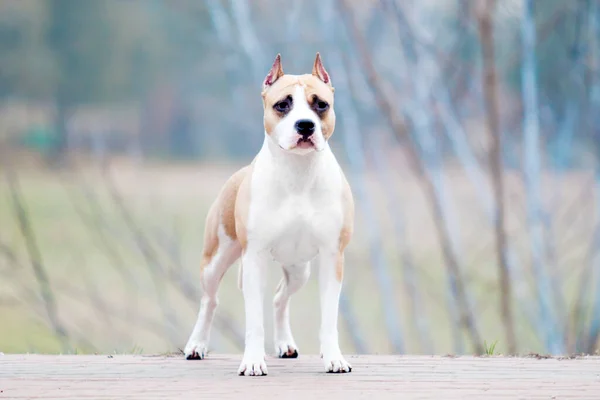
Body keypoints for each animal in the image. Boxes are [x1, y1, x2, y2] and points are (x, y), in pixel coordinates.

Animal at [182, 52, 352, 376]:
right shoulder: (254, 258)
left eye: (321, 104)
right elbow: (254, 321)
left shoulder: (332, 257)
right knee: (210, 301)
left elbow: (329, 316)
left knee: (279, 298)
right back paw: (196, 345)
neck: (298, 172)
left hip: (299, 269)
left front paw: (334, 357)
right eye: (282, 105)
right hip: (215, 259)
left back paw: (285, 344)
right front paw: (252, 361)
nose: (305, 126)